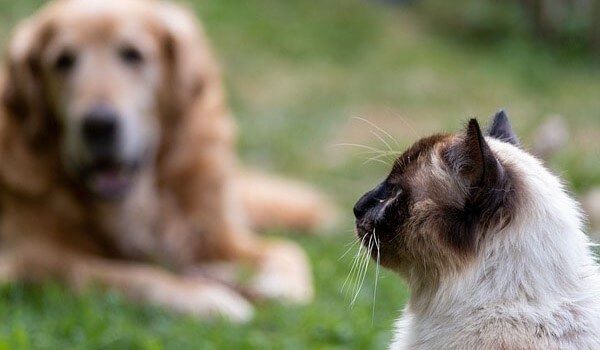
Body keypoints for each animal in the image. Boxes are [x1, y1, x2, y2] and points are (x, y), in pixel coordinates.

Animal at [0, 0, 336, 322]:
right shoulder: (31, 256)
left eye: (133, 55)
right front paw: (206, 299)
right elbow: (133, 275)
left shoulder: (215, 236)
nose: (98, 124)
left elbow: (287, 250)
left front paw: (277, 286)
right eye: (63, 61)